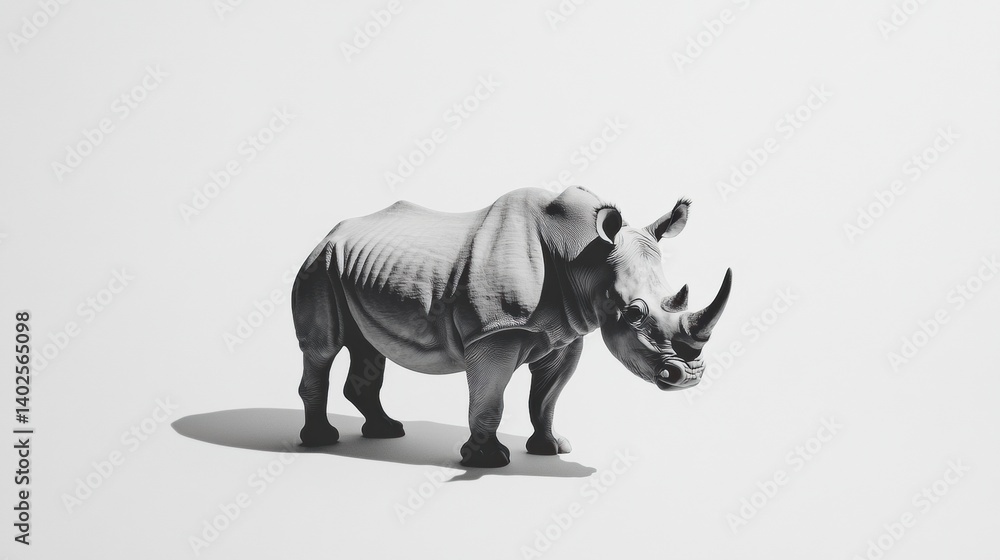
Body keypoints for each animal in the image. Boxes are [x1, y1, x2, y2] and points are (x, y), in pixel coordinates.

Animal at [291, 186, 732, 467]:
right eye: (636, 313)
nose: (689, 376)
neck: (583, 259)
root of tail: (330, 233)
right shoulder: (494, 332)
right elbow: (490, 400)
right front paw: (489, 461)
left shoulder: (565, 336)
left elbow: (547, 398)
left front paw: (551, 449)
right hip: (321, 266)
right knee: (322, 349)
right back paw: (322, 440)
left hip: (354, 267)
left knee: (369, 348)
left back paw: (386, 432)